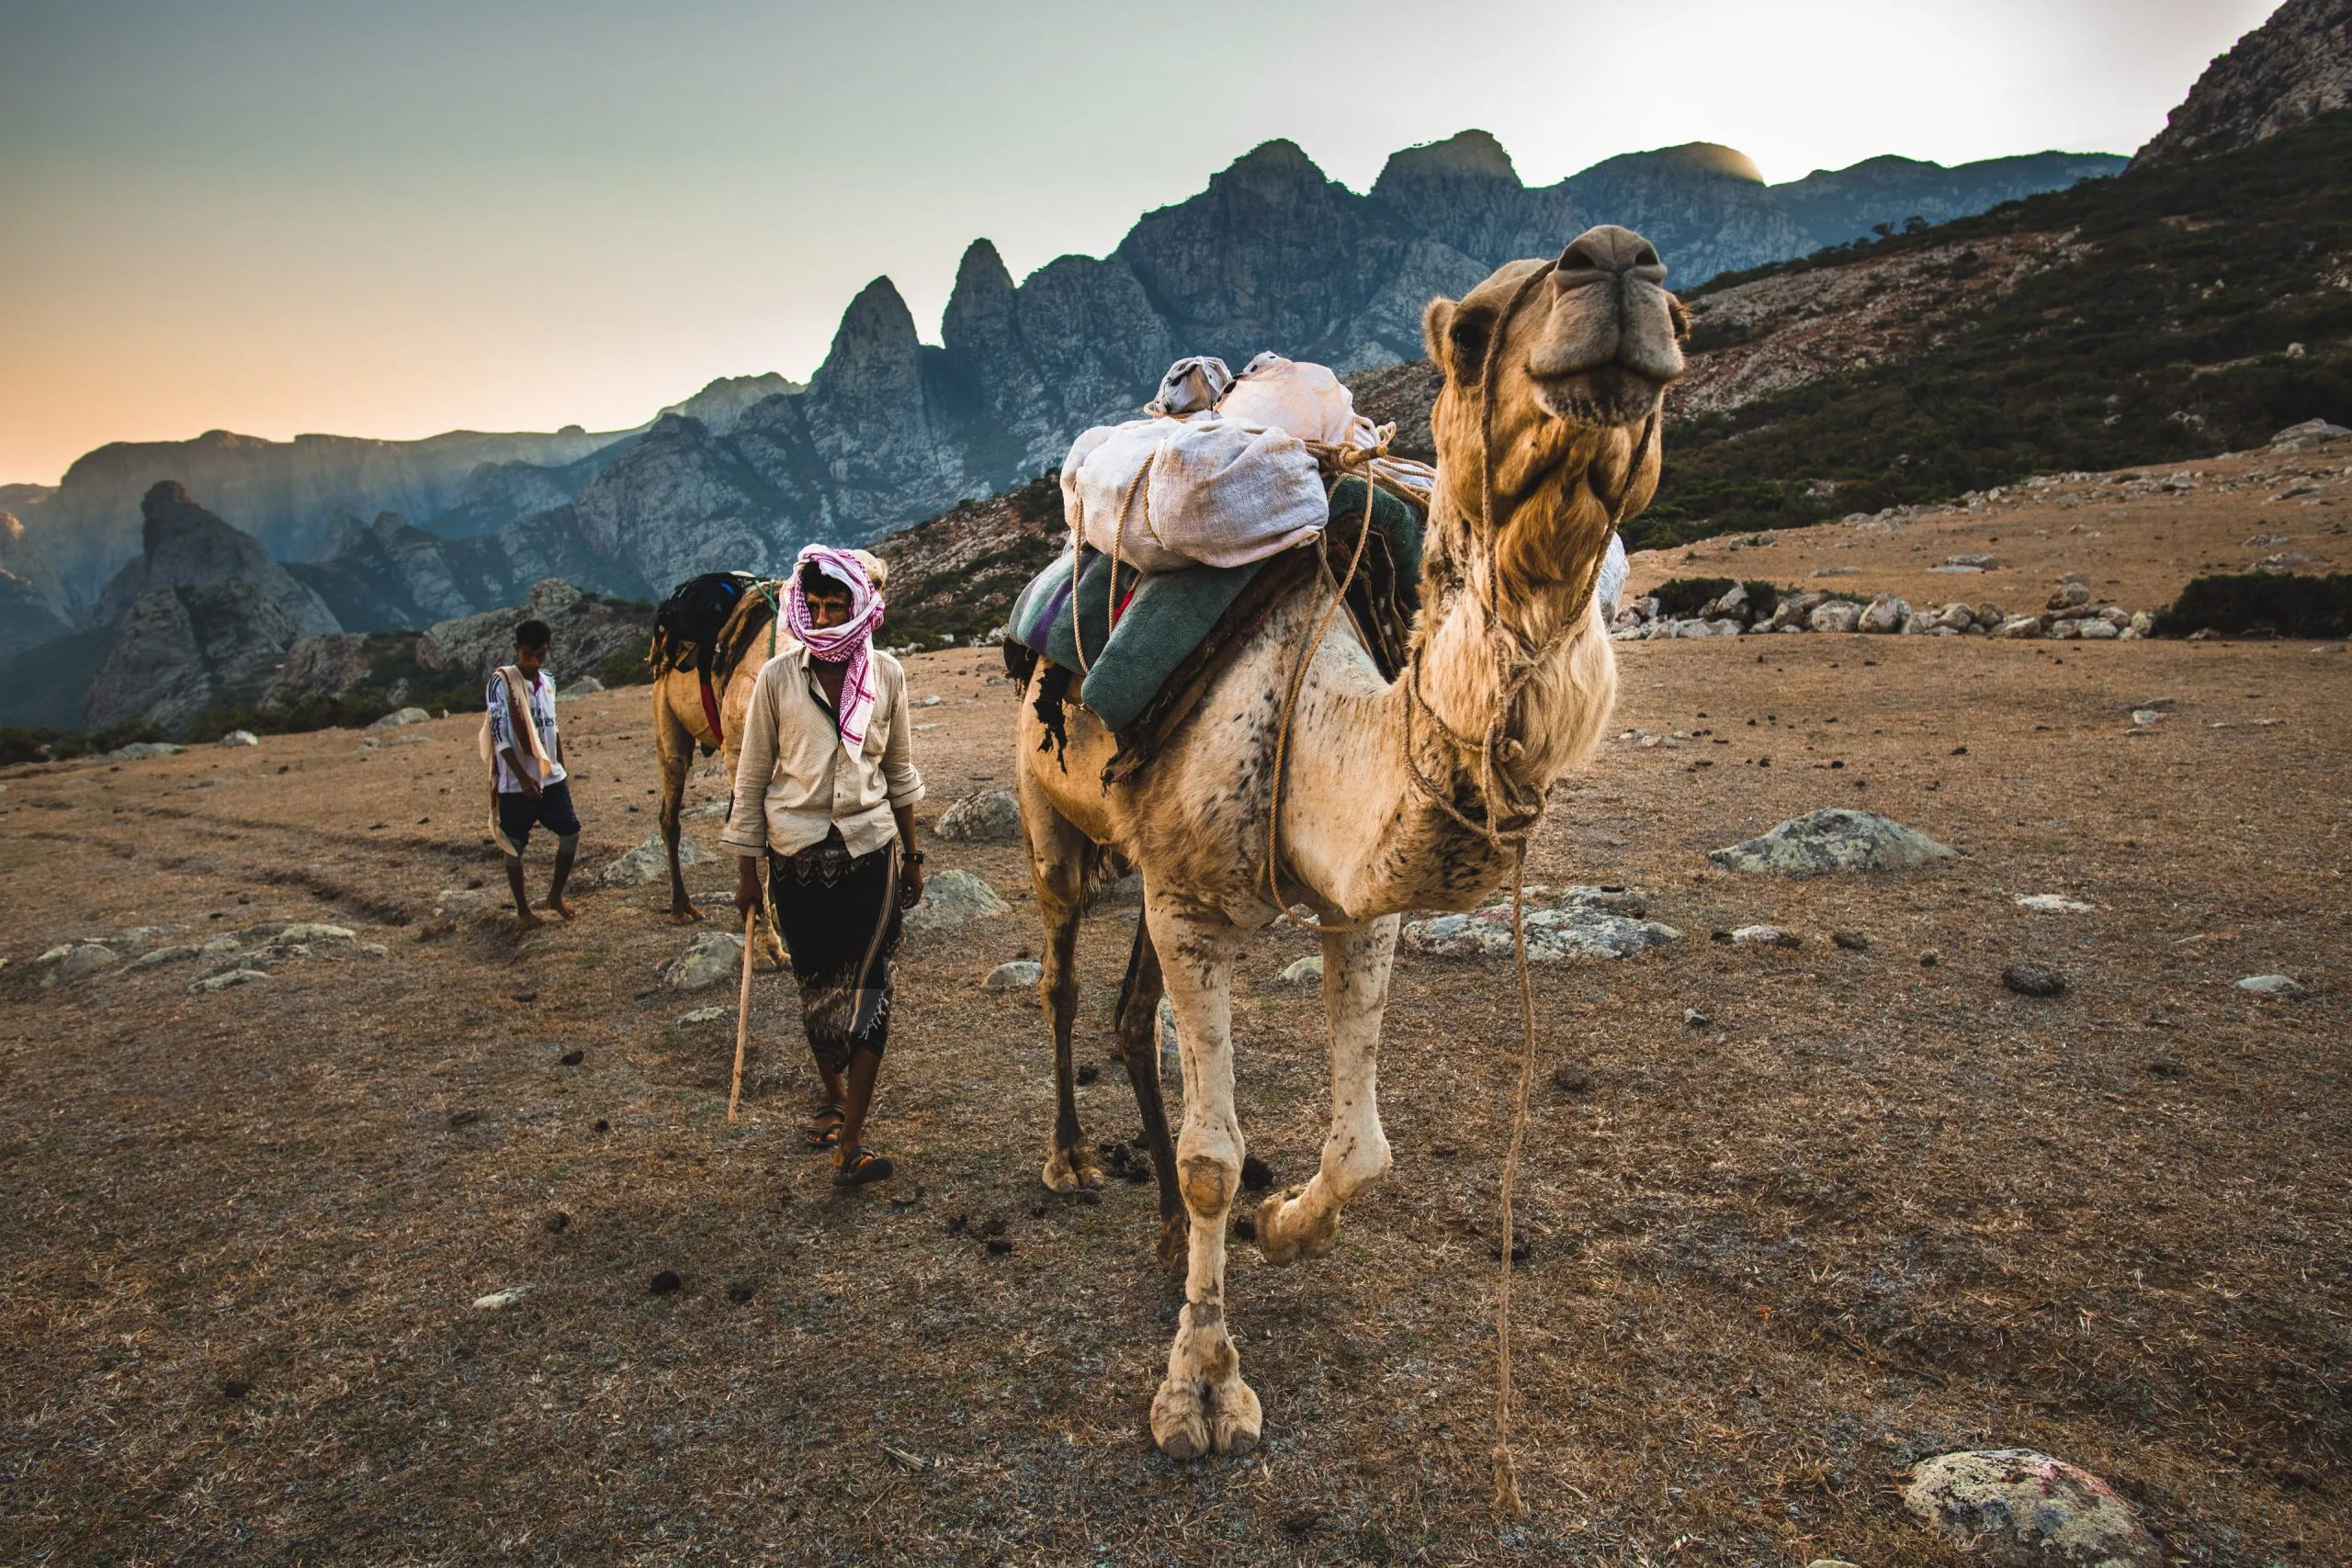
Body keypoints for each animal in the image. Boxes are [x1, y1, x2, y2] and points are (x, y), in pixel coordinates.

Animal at [1013, 225, 1688, 1459]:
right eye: (1468, 332)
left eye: (1686, 322)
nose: (1616, 264)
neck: (1321, 713)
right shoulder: (1194, 908)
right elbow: (1212, 1158)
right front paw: (1201, 1388)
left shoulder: (1354, 904)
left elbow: (1362, 1148)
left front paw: (1285, 1228)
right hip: (1053, 828)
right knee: (1060, 979)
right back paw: (1071, 1159)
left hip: (1151, 862)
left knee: (1131, 1012)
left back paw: (1154, 1230)